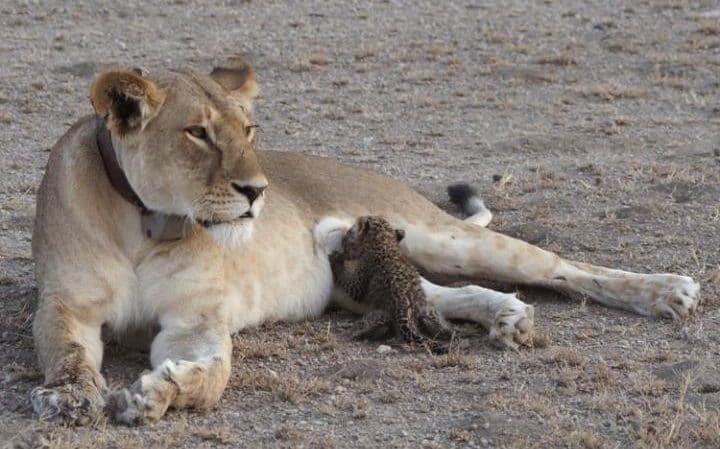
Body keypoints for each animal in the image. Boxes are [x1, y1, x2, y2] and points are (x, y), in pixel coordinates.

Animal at [30, 57, 701, 425]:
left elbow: (212, 374)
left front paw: (156, 394)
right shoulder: (64, 306)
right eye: (197, 133)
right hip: (360, 275)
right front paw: (69, 398)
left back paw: (670, 292)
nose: (258, 191)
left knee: (560, 266)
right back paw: (508, 317)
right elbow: (67, 353)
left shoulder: (196, 320)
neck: (148, 223)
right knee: (436, 294)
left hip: (437, 234)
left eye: (250, 129)